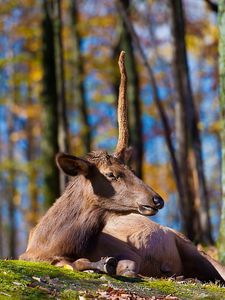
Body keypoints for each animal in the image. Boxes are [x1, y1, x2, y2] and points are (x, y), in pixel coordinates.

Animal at [19, 51, 163, 274]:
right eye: (111, 174)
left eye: (132, 169)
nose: (157, 200)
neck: (46, 245)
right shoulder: (27, 256)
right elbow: (73, 263)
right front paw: (102, 263)